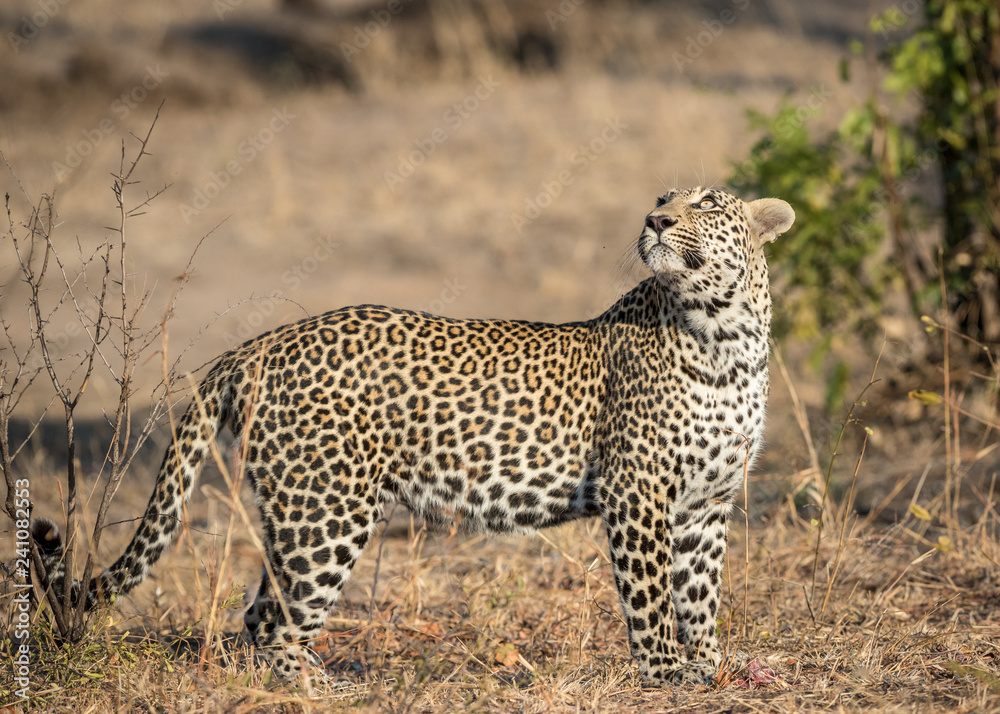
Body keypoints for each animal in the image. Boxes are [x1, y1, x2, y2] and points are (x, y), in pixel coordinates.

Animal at [29, 185, 796, 684]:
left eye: (709, 203)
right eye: (665, 198)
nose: (655, 219)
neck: (726, 336)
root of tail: (257, 345)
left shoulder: (706, 505)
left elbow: (700, 593)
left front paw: (709, 665)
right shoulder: (639, 496)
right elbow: (651, 597)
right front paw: (667, 673)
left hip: (300, 510)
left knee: (260, 610)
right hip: (328, 510)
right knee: (278, 619)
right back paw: (320, 689)